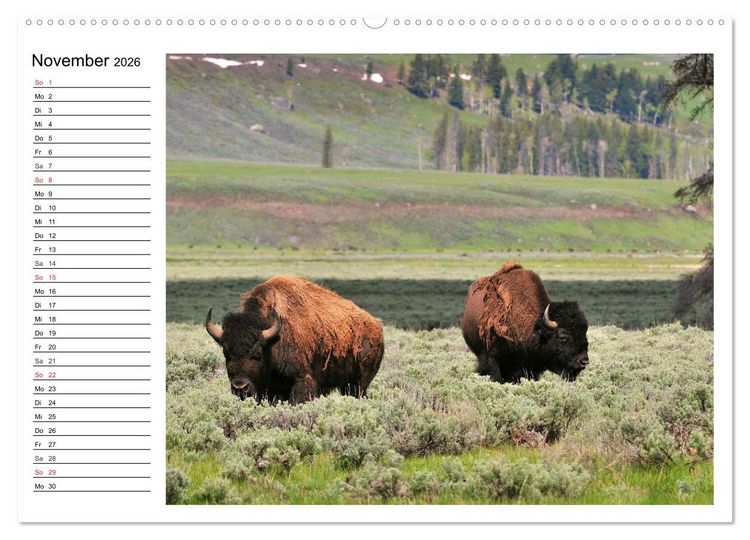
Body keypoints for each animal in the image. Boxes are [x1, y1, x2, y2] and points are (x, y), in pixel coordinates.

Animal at [205, 275, 384, 404]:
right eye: (226, 354)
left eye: (257, 354)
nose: (240, 387)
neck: (272, 341)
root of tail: (377, 326)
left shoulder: (301, 380)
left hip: (358, 384)